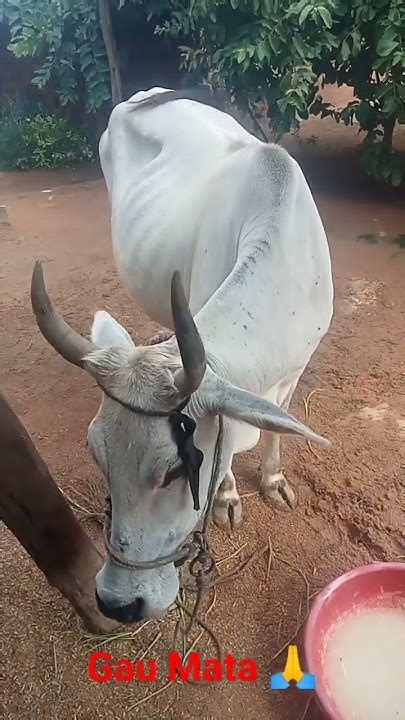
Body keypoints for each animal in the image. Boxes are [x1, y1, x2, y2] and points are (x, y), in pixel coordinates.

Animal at [31, 87, 332, 620]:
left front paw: (273, 480)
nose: (117, 602)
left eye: (175, 469)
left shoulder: (296, 367)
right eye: (95, 453)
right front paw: (229, 495)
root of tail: (140, 96)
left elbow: (280, 423)